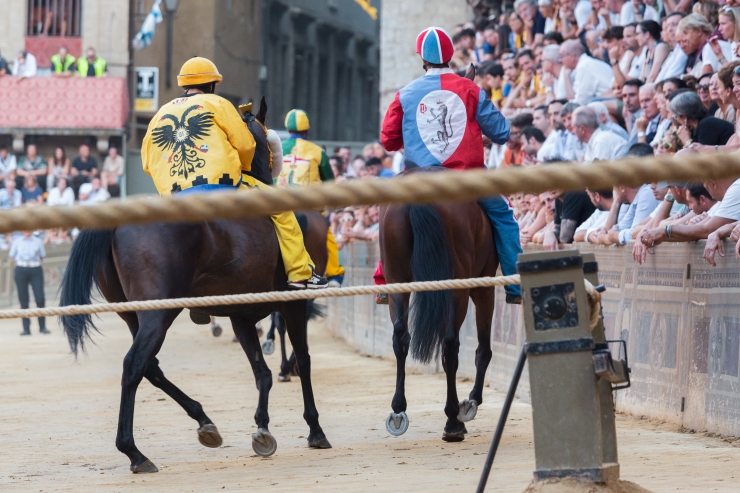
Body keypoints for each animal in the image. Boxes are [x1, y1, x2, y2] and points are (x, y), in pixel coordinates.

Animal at [59, 98, 331, 474]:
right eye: (266, 137)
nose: (273, 167)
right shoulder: (293, 302)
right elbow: (303, 360)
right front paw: (315, 428)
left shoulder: (241, 316)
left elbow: (261, 371)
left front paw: (262, 428)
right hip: (159, 313)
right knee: (134, 364)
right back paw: (134, 451)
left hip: (132, 313)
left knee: (151, 367)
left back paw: (203, 421)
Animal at [378, 165, 498, 442]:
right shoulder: (483, 288)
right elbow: (483, 349)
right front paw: (472, 401)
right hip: (456, 289)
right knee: (450, 345)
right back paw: (453, 420)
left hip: (397, 279)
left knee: (400, 337)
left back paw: (398, 410)